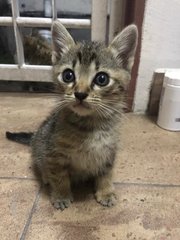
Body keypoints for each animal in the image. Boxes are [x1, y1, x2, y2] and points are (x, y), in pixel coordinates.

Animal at [5, 20, 138, 210]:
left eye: (102, 79)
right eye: (68, 75)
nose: (80, 94)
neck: (90, 127)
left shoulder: (109, 152)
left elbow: (106, 173)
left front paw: (105, 191)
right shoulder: (54, 155)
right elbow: (59, 177)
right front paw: (61, 195)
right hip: (39, 145)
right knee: (40, 164)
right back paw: (46, 177)